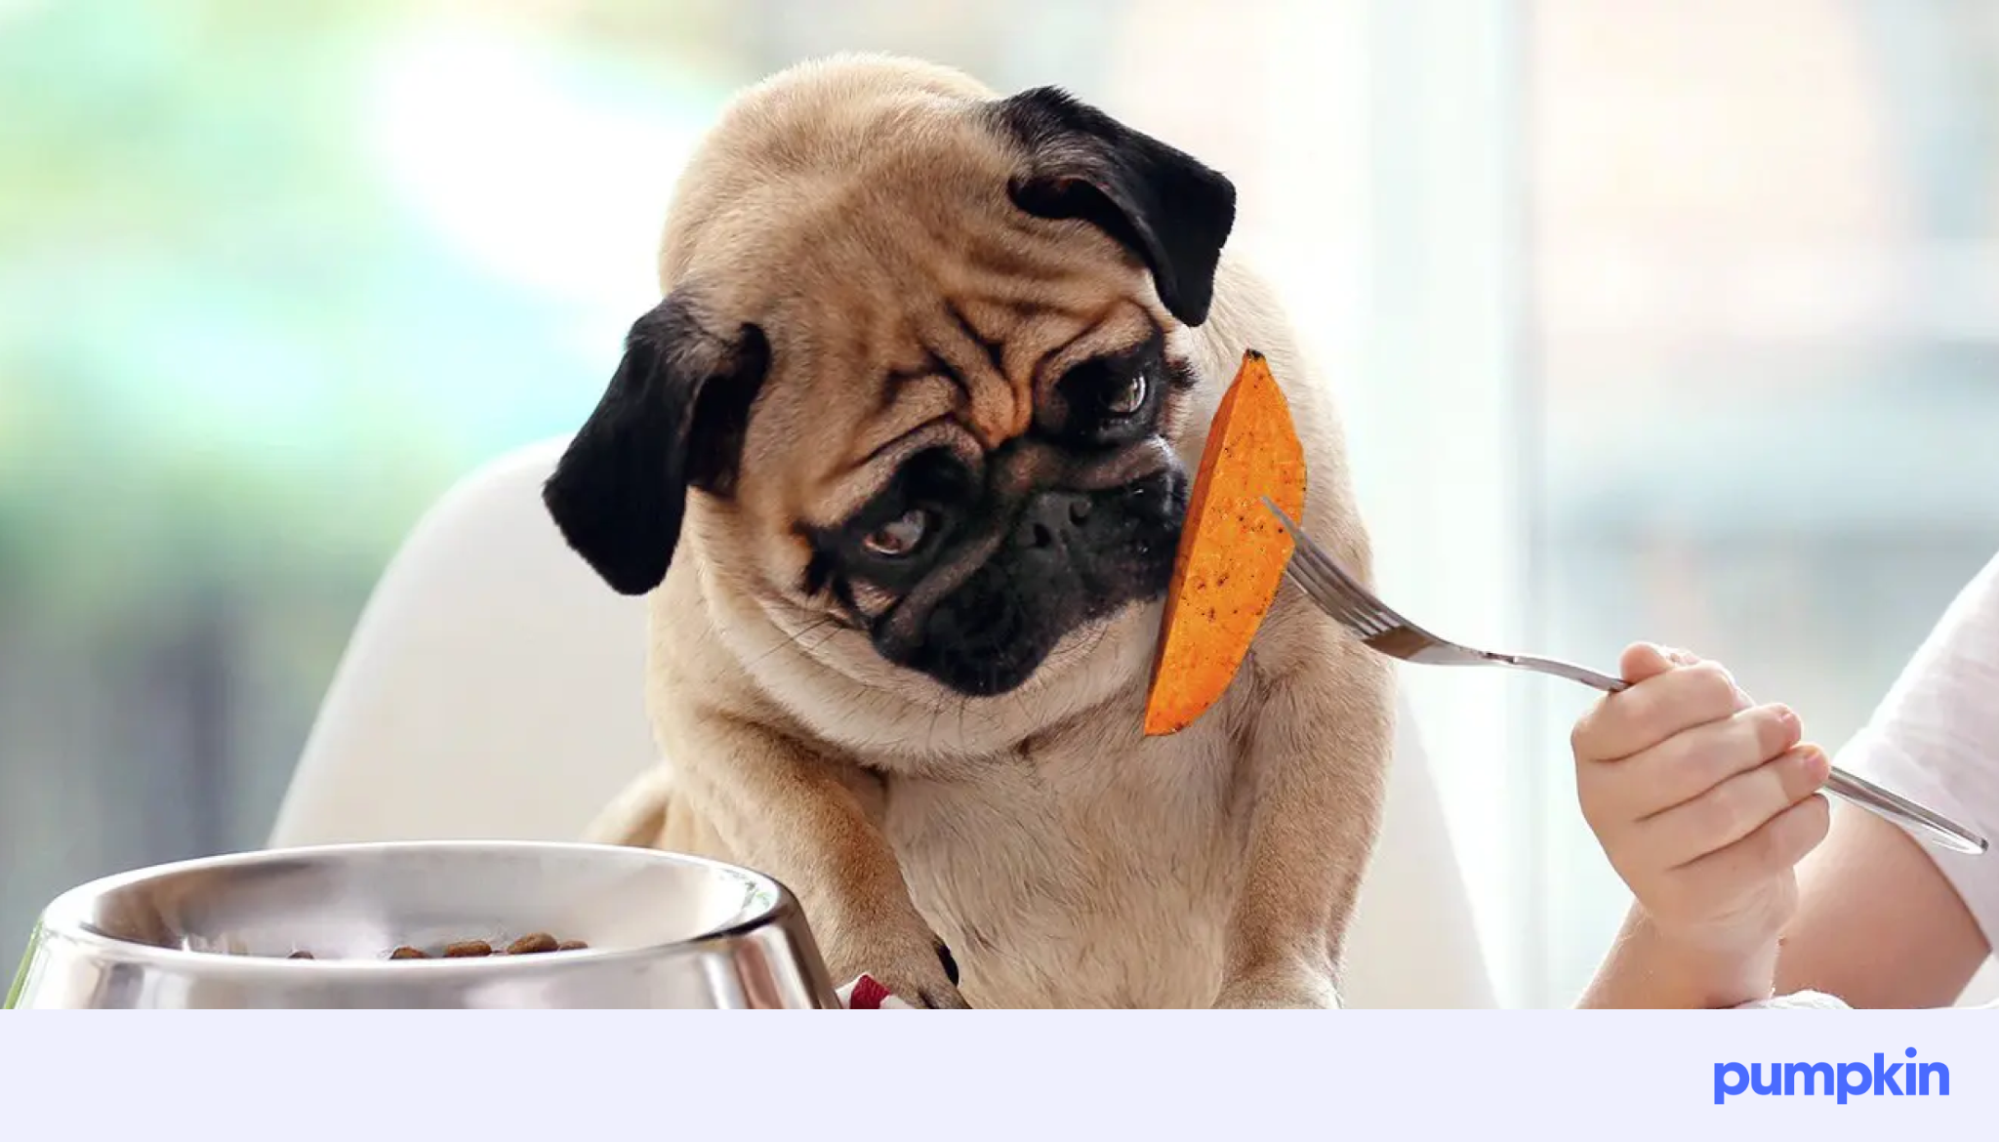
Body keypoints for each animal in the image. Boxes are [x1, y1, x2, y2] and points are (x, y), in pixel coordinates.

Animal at [539, 53, 1399, 1007]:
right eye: (899, 529)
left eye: (1125, 393)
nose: (1055, 515)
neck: (1044, 698)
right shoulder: (727, 729)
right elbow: (828, 843)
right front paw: (887, 965)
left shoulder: (1315, 667)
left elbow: (1291, 865)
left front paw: (1272, 990)